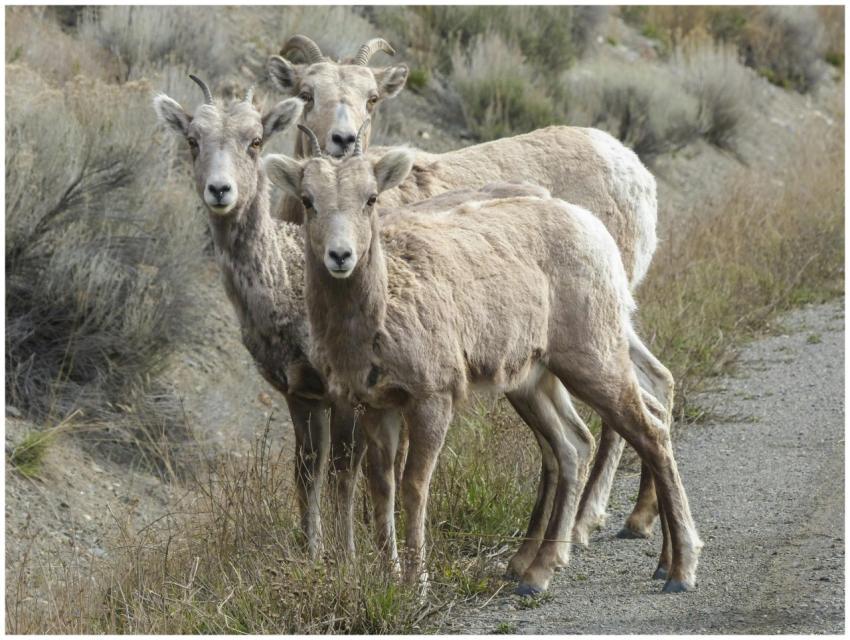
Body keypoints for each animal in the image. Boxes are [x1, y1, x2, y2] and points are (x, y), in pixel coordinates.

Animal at [264, 133, 702, 597]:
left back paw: (678, 569)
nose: (340, 255)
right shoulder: (377, 406)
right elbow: (381, 487)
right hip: (534, 380)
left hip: (593, 359)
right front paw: (389, 579)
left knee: (649, 434)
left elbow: (414, 486)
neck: (380, 312)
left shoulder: (433, 398)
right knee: (574, 445)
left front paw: (417, 584)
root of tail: (591, 228)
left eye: (370, 198)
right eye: (308, 200)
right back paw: (538, 573)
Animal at [267, 38, 664, 542]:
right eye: (306, 93)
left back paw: (583, 523)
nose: (344, 141)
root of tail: (635, 171)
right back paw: (635, 518)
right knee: (655, 386)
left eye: (371, 98)